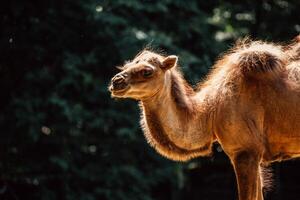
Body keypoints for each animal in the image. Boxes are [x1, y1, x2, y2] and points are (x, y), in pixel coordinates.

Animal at [108, 36, 300, 200]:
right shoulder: (253, 155)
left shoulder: (245, 151)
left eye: (147, 71)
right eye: (126, 65)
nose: (116, 82)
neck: (211, 114)